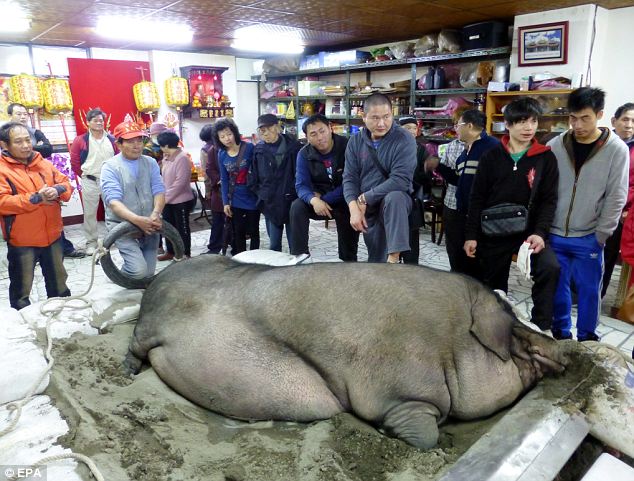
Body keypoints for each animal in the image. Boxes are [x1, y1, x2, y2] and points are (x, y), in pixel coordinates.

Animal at [122, 256, 564, 448]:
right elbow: (423, 436)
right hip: (149, 326)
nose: (562, 349)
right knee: (136, 345)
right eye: (522, 341)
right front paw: (434, 442)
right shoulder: (403, 395)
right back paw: (126, 373)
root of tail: (161, 275)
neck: (450, 344)